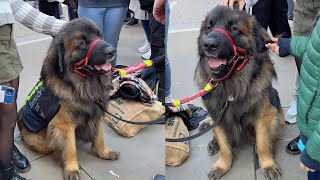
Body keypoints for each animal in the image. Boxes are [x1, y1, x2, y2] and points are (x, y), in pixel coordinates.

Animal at [16, 19, 119, 179]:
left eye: (99, 35)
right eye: (83, 41)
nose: (112, 51)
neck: (81, 84)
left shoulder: (97, 114)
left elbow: (99, 137)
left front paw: (104, 152)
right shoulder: (64, 125)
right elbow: (70, 148)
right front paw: (72, 169)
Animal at [196, 5, 286, 180]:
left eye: (233, 28)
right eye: (209, 26)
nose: (208, 44)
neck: (231, 84)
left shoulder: (265, 115)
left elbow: (263, 142)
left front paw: (267, 164)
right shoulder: (218, 115)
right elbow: (225, 145)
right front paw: (222, 165)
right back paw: (213, 143)